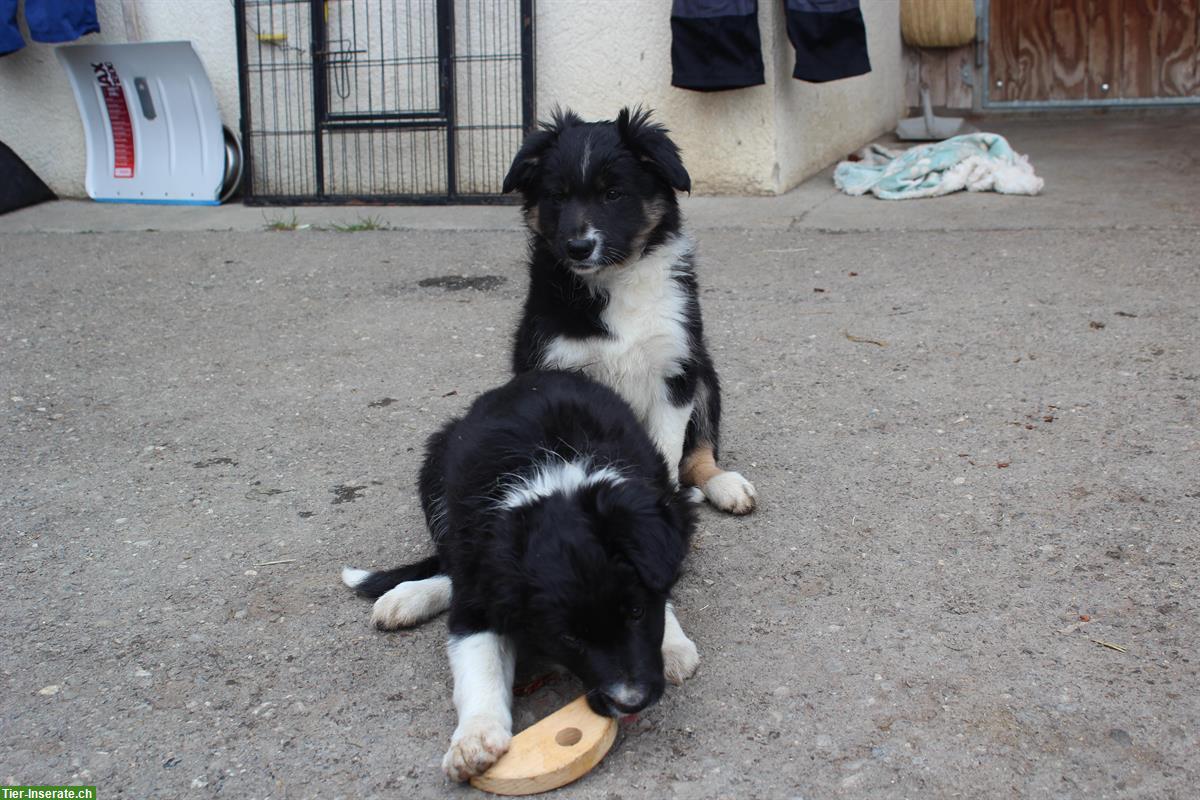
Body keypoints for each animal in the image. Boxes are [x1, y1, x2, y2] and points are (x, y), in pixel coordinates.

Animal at [343, 371, 700, 782]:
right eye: (569, 638)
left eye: (636, 613)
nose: (632, 702)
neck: (554, 476)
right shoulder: (481, 586)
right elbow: (477, 660)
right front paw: (475, 737)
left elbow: (663, 585)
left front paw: (672, 643)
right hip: (435, 467)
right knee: (450, 565)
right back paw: (408, 597)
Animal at [506, 106, 758, 515]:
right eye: (556, 196)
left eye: (613, 194)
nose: (578, 247)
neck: (616, 280)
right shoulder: (557, 365)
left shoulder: (675, 367)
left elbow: (669, 448)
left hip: (704, 375)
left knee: (699, 452)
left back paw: (725, 485)